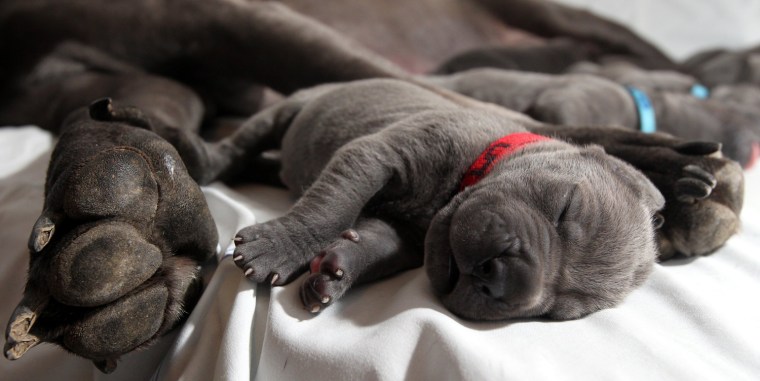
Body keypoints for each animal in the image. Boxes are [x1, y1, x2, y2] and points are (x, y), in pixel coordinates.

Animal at [194, 78, 736, 320]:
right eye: (564, 209)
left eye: (557, 313)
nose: (505, 282)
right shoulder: (377, 153)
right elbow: (331, 206)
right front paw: (280, 249)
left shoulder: (407, 233)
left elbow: (376, 245)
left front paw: (336, 270)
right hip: (298, 105)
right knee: (244, 142)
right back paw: (202, 156)